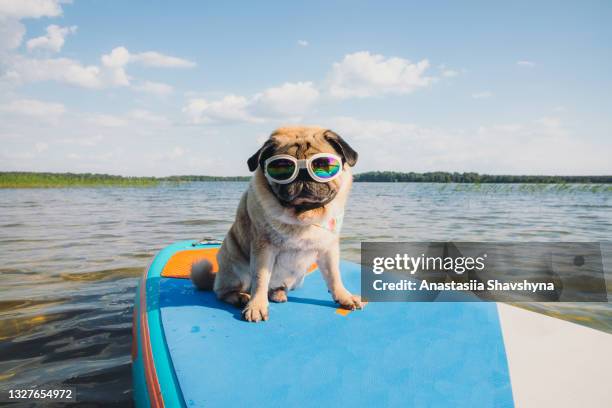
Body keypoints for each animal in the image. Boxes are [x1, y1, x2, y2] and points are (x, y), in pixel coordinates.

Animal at [191, 126, 364, 322]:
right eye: (282, 167)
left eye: (322, 165)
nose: (303, 173)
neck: (302, 216)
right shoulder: (263, 247)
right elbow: (260, 278)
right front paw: (256, 306)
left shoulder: (328, 248)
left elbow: (334, 276)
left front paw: (344, 297)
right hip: (235, 267)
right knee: (223, 292)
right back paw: (241, 297)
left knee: (274, 288)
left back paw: (277, 293)